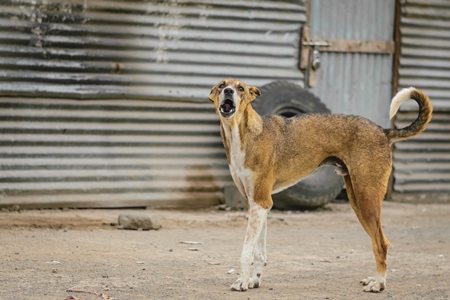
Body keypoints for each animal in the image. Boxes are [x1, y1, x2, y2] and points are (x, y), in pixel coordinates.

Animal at [208, 78, 432, 292]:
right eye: (221, 85)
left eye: (240, 88)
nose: (228, 91)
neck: (242, 133)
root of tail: (383, 131)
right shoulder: (257, 204)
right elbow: (258, 252)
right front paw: (254, 281)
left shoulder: (260, 203)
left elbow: (246, 251)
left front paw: (242, 283)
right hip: (357, 200)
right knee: (377, 242)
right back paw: (375, 279)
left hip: (366, 199)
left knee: (382, 244)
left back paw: (379, 284)